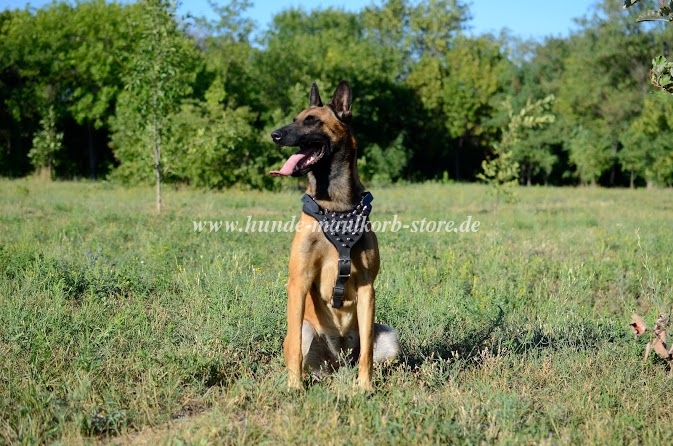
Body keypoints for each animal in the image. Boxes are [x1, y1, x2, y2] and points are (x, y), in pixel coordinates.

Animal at [270, 81, 400, 390]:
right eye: (295, 118)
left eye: (311, 121)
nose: (275, 135)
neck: (335, 205)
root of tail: (336, 363)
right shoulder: (298, 282)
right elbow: (295, 349)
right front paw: (294, 388)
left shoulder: (367, 287)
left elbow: (367, 352)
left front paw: (365, 387)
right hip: (307, 331)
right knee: (299, 350)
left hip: (390, 335)